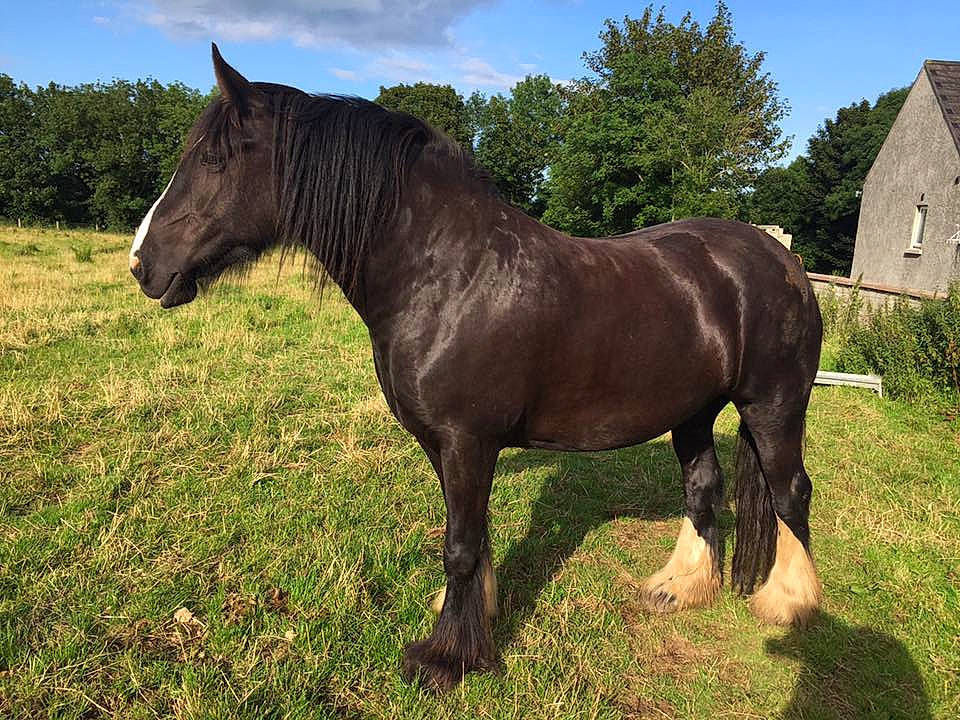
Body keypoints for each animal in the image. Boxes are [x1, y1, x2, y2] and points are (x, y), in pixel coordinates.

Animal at [129, 44, 823, 691]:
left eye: (213, 160)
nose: (143, 263)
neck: (447, 273)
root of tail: (781, 259)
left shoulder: (468, 439)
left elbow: (460, 546)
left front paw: (447, 658)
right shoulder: (444, 442)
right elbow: (474, 534)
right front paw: (474, 620)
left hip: (773, 406)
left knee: (790, 492)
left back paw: (790, 606)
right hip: (693, 411)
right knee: (704, 487)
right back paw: (679, 587)